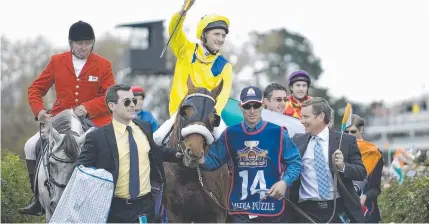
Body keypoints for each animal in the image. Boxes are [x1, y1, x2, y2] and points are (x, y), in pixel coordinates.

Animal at [162, 76, 231, 222]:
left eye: (214, 118)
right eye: (184, 111)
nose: (194, 152)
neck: (188, 174)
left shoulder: (217, 213)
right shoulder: (175, 213)